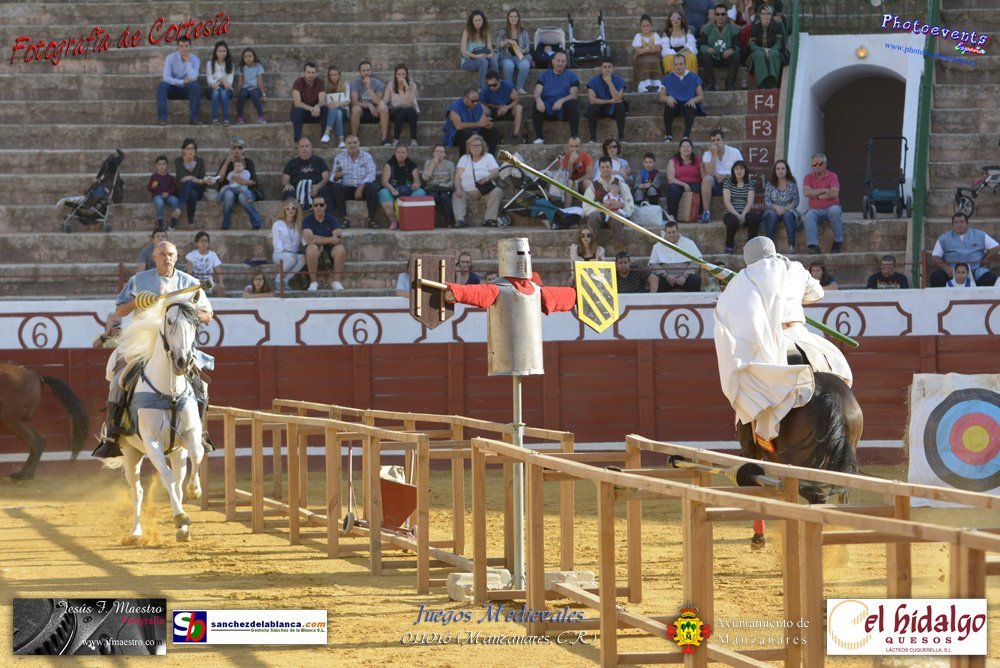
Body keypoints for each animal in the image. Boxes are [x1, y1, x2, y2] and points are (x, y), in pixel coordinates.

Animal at [102, 298, 204, 542]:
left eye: (195, 323)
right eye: (170, 321)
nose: (183, 361)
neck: (170, 394)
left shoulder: (191, 435)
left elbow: (198, 454)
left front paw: (195, 490)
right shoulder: (152, 443)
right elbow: (166, 478)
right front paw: (180, 517)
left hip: (177, 452)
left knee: (178, 481)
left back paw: (182, 530)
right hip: (131, 454)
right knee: (137, 491)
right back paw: (136, 531)